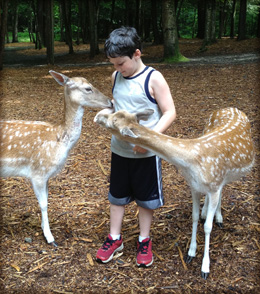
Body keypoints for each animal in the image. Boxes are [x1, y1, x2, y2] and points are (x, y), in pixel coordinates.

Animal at [0, 70, 112, 247]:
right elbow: (44, 204)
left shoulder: (46, 176)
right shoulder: (38, 172)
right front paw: (50, 238)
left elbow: (47, 200)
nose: (110, 102)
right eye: (88, 88)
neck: (59, 139)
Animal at [94, 107, 255, 280]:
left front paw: (205, 268)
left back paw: (218, 218)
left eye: (113, 121)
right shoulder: (193, 186)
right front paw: (190, 253)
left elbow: (207, 227)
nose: (98, 115)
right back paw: (208, 213)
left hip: (222, 177)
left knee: (221, 191)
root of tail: (231, 108)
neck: (192, 162)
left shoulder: (213, 184)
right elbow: (194, 217)